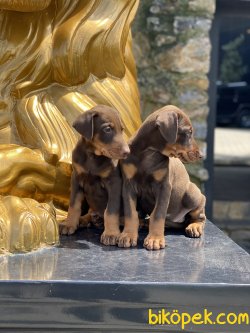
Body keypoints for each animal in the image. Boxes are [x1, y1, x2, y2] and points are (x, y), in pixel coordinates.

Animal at [60, 105, 130, 245]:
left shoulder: (114, 183)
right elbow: (74, 205)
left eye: (122, 129)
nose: (127, 152)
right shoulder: (76, 178)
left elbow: (111, 210)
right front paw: (69, 224)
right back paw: (86, 219)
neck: (93, 155)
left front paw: (111, 233)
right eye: (107, 129)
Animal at [118, 104, 206, 249]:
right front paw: (128, 235)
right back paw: (144, 223)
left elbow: (158, 214)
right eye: (188, 132)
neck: (149, 153)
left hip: (191, 194)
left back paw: (195, 226)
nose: (201, 156)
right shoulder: (128, 186)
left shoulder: (164, 187)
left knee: (200, 214)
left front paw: (155, 239)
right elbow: (130, 213)